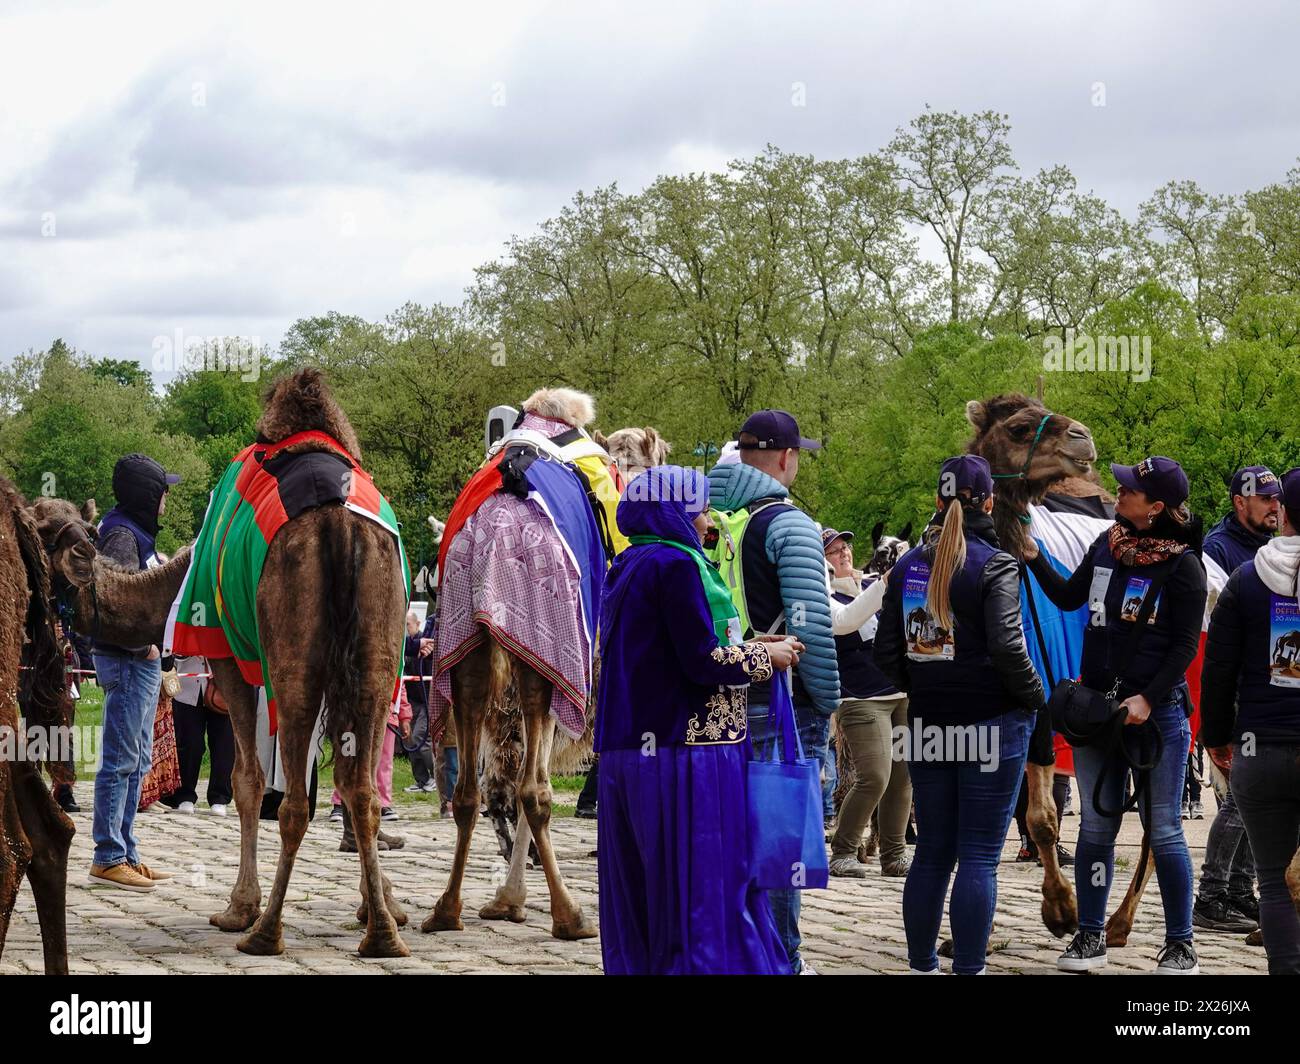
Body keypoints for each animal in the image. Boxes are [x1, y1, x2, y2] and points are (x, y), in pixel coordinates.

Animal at [34, 369, 410, 957]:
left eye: (37, 526)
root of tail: (340, 526)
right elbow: (340, 784)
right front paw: (384, 905)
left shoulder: (229, 655)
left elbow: (247, 780)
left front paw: (238, 906)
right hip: (378, 656)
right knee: (362, 790)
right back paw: (383, 938)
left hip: (294, 660)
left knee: (298, 801)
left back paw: (267, 931)